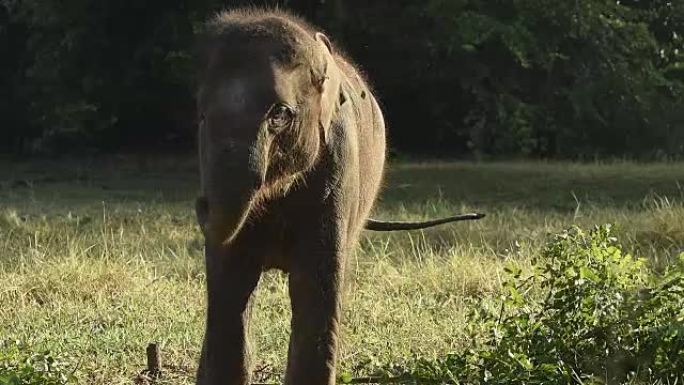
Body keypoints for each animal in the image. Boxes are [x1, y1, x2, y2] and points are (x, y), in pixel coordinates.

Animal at [191, 8, 480, 384]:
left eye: (280, 114)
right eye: (202, 115)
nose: (202, 203)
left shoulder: (337, 171)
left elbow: (315, 286)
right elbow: (231, 282)